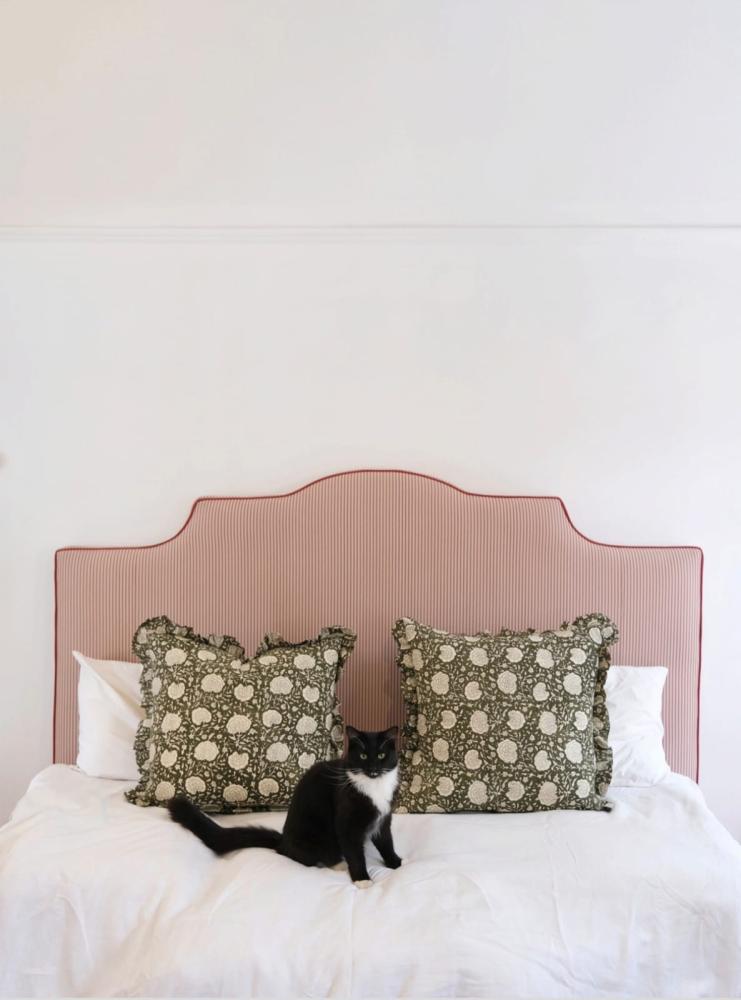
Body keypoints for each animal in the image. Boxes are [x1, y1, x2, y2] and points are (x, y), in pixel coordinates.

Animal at [168, 726, 402, 887]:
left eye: (381, 755)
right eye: (362, 755)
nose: (372, 768)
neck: (374, 786)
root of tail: (282, 842)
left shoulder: (383, 818)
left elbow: (386, 842)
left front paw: (395, 862)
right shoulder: (347, 822)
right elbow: (354, 852)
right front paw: (362, 879)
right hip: (313, 836)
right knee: (308, 857)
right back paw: (337, 863)